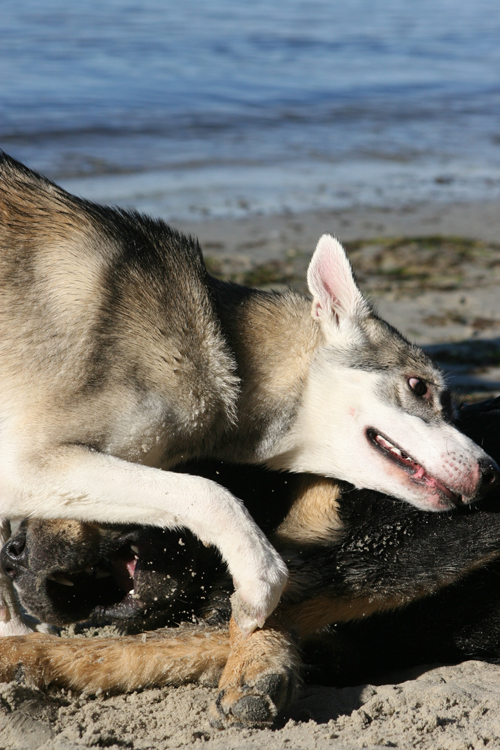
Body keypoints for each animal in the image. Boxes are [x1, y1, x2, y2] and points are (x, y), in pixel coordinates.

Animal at [0, 151, 496, 640]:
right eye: (419, 386)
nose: (491, 472)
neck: (227, 348)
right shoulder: (28, 466)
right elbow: (212, 493)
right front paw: (260, 583)